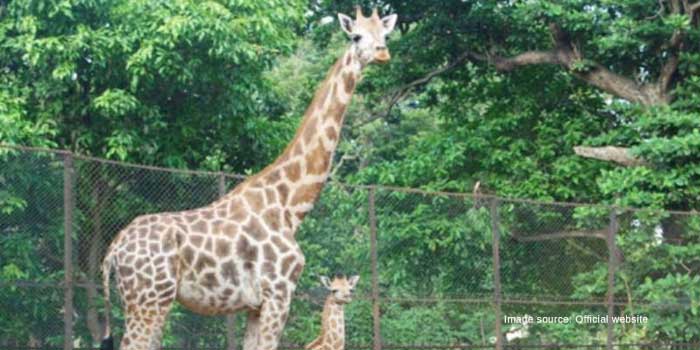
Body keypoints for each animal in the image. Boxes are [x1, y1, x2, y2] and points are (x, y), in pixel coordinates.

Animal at [100, 6, 400, 350]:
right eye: (356, 36)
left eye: (386, 34)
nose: (383, 54)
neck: (289, 205)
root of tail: (113, 249)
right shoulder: (278, 294)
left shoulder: (254, 305)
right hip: (148, 299)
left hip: (150, 300)